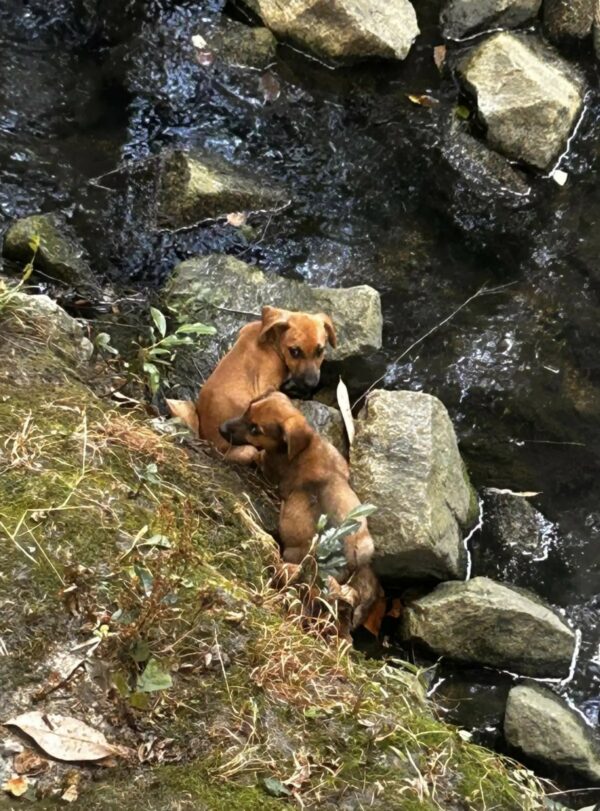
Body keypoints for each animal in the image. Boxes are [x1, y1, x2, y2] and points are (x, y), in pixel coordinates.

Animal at [197, 308, 338, 466]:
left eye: (320, 351)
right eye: (294, 351)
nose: (311, 384)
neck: (271, 341)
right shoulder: (267, 386)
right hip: (248, 450)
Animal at [219, 394, 380, 628]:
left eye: (255, 429)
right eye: (248, 408)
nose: (220, 428)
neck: (305, 446)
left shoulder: (267, 465)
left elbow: (255, 454)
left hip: (291, 555)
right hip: (366, 545)